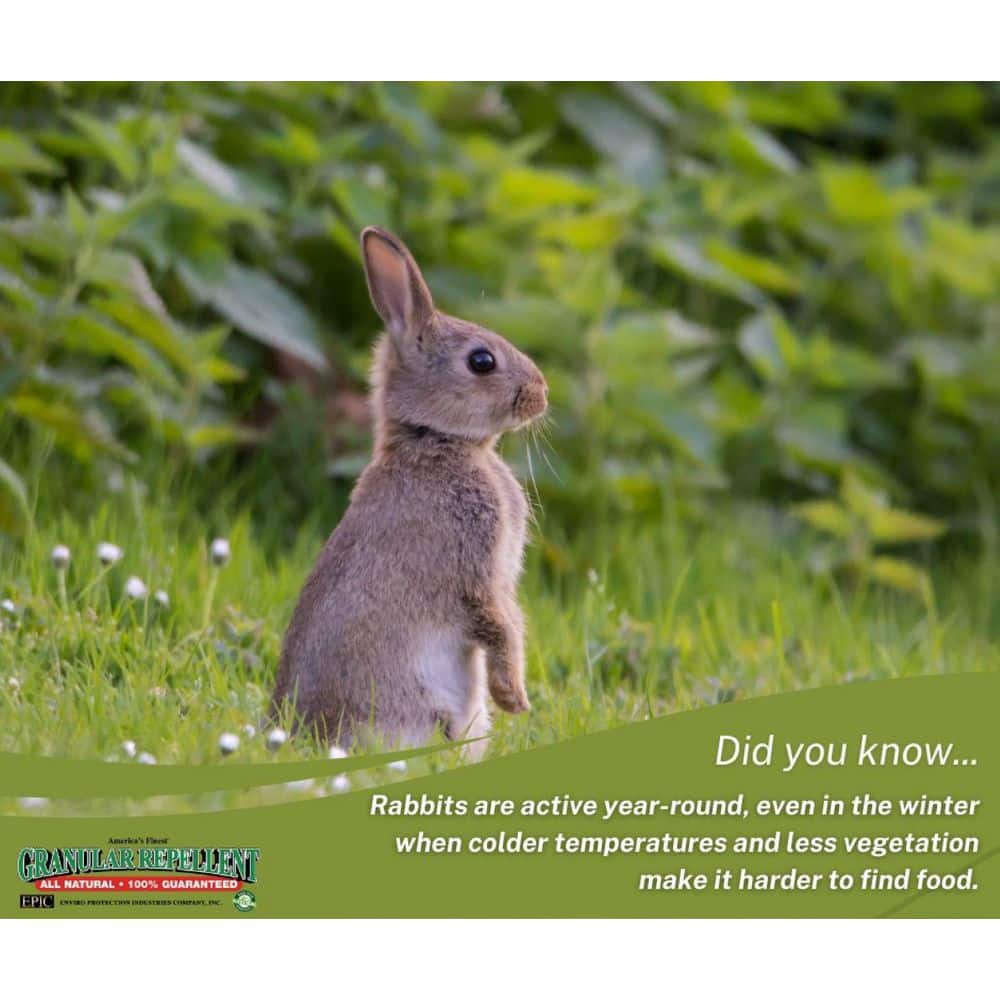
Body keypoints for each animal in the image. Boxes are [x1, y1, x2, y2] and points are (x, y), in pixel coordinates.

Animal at [270, 226, 548, 759]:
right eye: (481, 361)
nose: (541, 394)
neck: (433, 440)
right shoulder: (474, 569)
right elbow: (498, 623)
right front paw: (514, 697)